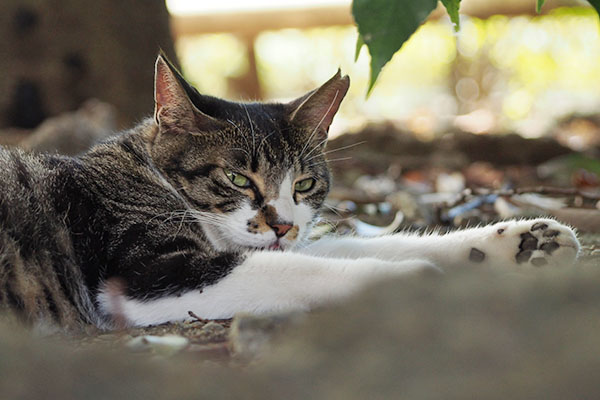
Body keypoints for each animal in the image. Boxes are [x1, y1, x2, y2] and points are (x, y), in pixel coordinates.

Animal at [0, 55, 580, 332]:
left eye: (303, 183)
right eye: (238, 179)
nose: (282, 223)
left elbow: (351, 245)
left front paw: (520, 241)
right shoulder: (144, 273)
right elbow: (296, 268)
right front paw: (407, 278)